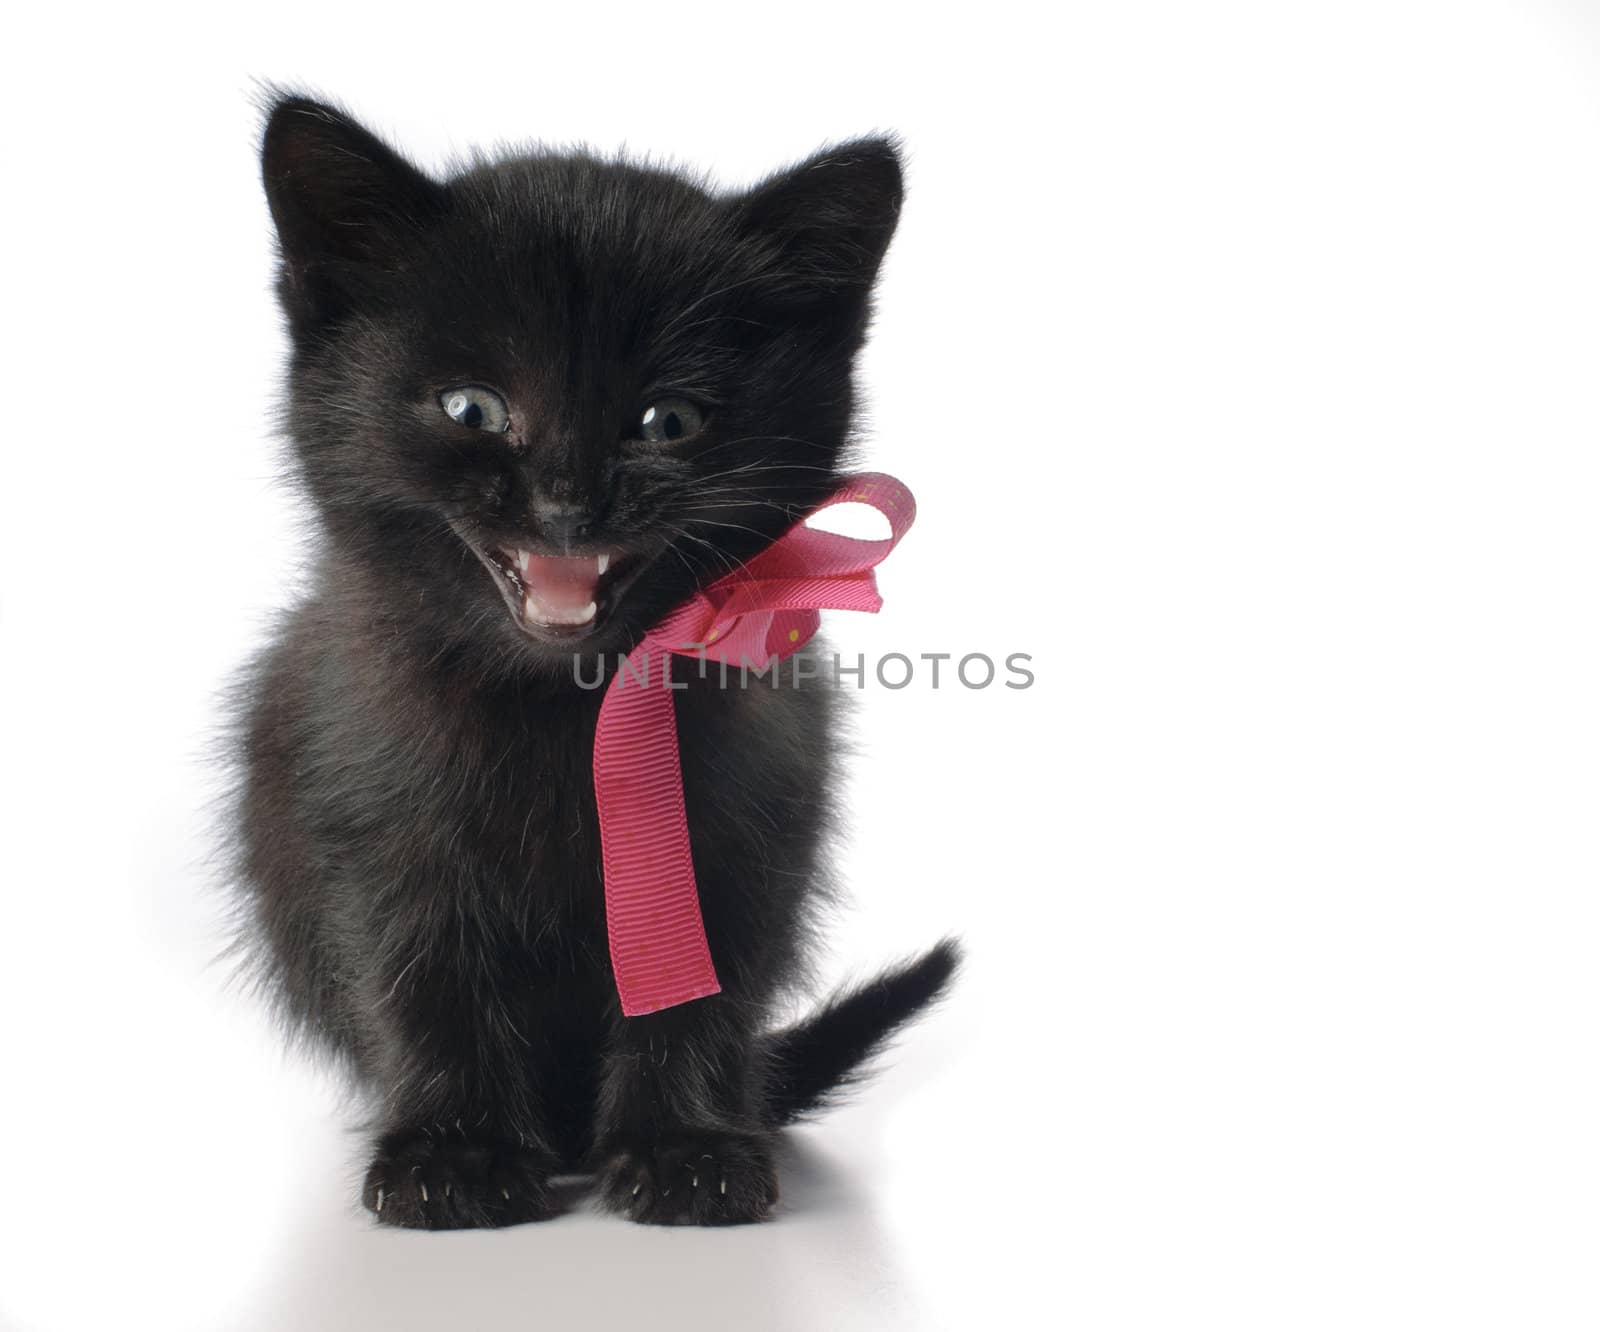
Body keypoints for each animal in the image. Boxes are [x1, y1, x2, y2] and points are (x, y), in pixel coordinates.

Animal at [230, 93, 953, 1229]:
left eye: (668, 420)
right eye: (473, 409)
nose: (569, 502)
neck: (567, 702)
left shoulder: (739, 832)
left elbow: (700, 982)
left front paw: (685, 1149)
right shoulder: (376, 831)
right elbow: (421, 976)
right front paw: (457, 1153)